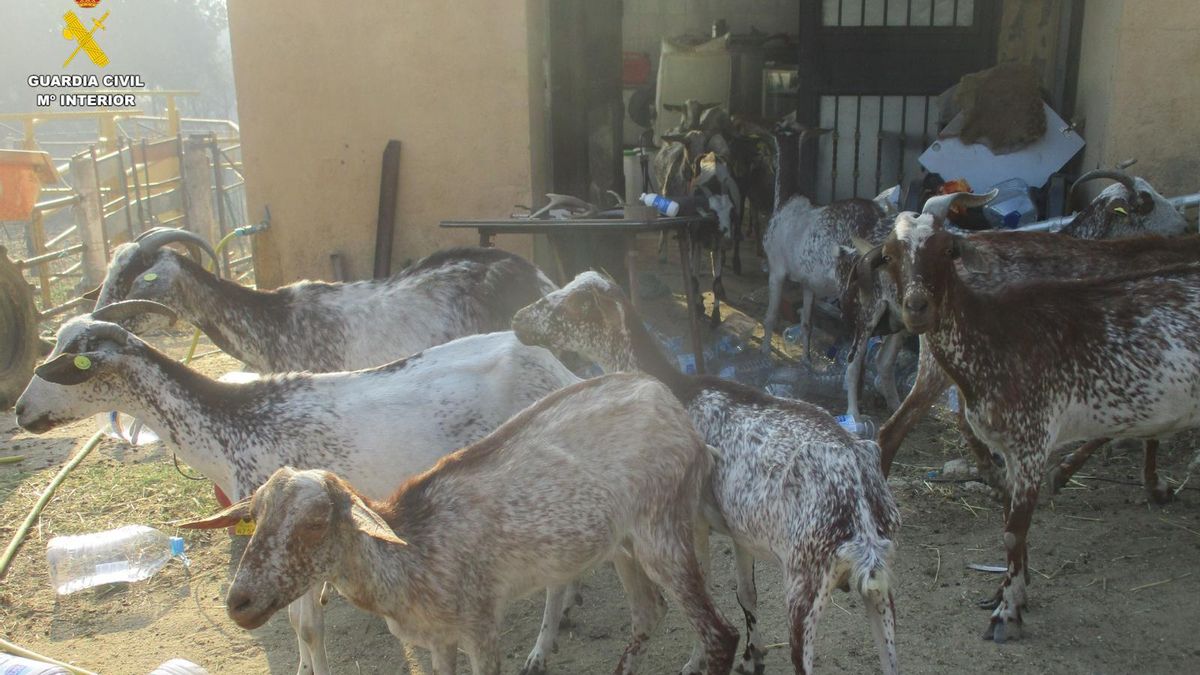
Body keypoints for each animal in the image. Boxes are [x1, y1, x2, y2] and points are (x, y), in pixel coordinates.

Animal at [14, 304, 581, 675]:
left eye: (69, 365)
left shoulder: (301, 549)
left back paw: (541, 648)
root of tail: (557, 369)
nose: (20, 411)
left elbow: (306, 627)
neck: (230, 425)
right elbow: (290, 623)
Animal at [179, 374, 740, 675]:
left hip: (663, 530)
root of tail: (672, 407)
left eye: (317, 522)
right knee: (649, 613)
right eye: (254, 517)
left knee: (721, 632)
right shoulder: (437, 638)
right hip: (624, 544)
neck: (410, 556)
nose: (239, 603)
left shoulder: (480, 625)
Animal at [513, 272, 901, 675]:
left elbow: (706, 587)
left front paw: (696, 661)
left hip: (804, 584)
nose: (518, 320)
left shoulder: (693, 520)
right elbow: (745, 594)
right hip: (881, 586)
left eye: (576, 304)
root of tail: (859, 505)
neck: (677, 389)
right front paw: (752, 657)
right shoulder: (741, 532)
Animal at [881, 204, 1200, 643]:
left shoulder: (1032, 438)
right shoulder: (1011, 444)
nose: (917, 307)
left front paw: (1007, 613)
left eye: (948, 250)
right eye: (889, 254)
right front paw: (1006, 592)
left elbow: (1013, 529)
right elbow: (1011, 522)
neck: (995, 333)